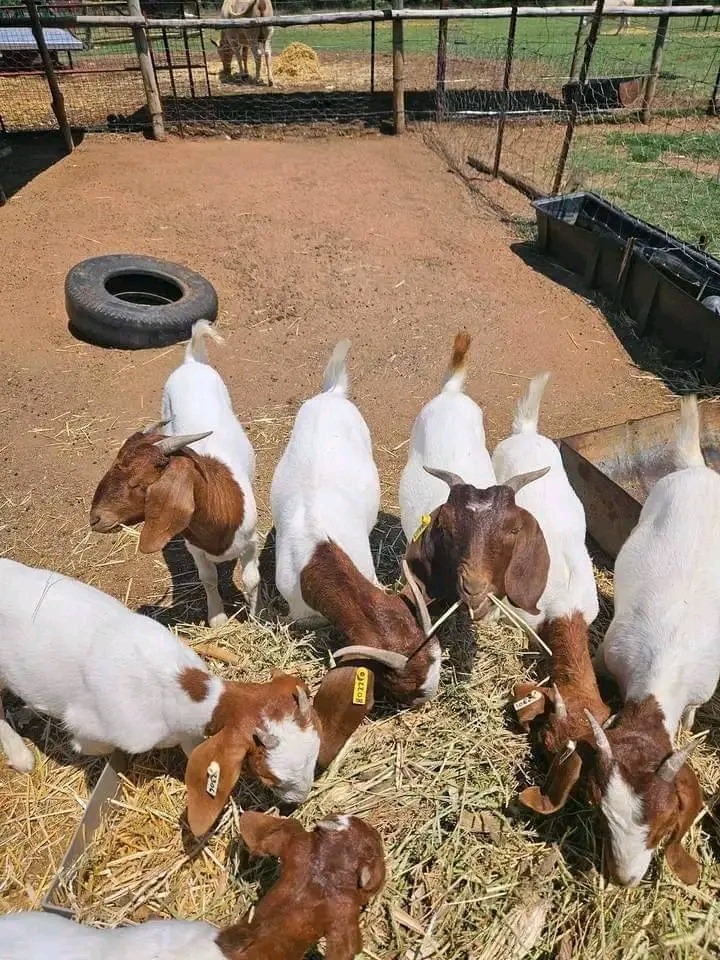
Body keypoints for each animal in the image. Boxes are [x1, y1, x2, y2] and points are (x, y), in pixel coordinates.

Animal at [0, 558, 320, 836]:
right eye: (268, 776)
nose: (300, 800)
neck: (169, 685)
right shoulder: (92, 730)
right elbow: (91, 744)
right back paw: (21, 755)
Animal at [90, 321, 260, 627]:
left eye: (139, 484)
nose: (95, 519)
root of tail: (192, 362)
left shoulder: (252, 541)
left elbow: (251, 579)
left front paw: (255, 620)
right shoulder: (196, 549)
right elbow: (208, 578)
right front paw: (217, 619)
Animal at [585, 396, 716, 887]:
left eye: (663, 827)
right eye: (602, 815)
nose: (624, 879)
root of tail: (698, 469)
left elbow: (691, 714)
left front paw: (690, 727)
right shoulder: (607, 653)